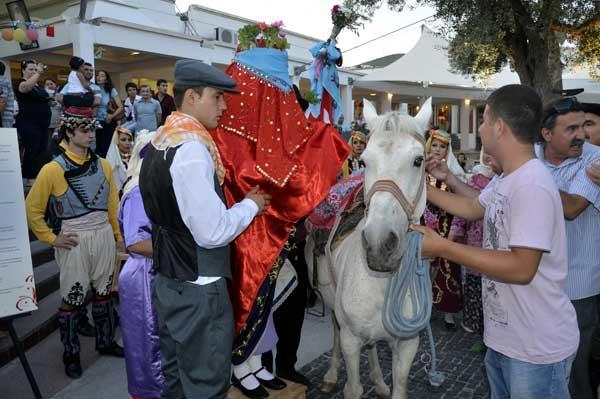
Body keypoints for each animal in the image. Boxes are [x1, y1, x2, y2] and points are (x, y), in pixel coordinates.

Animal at [304, 100, 432, 399]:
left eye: (418, 160)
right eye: (364, 161)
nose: (379, 244)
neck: (381, 283)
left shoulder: (408, 344)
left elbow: (399, 386)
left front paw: (386, 384)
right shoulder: (351, 341)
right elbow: (353, 387)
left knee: (373, 347)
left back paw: (379, 381)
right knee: (336, 333)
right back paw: (330, 375)